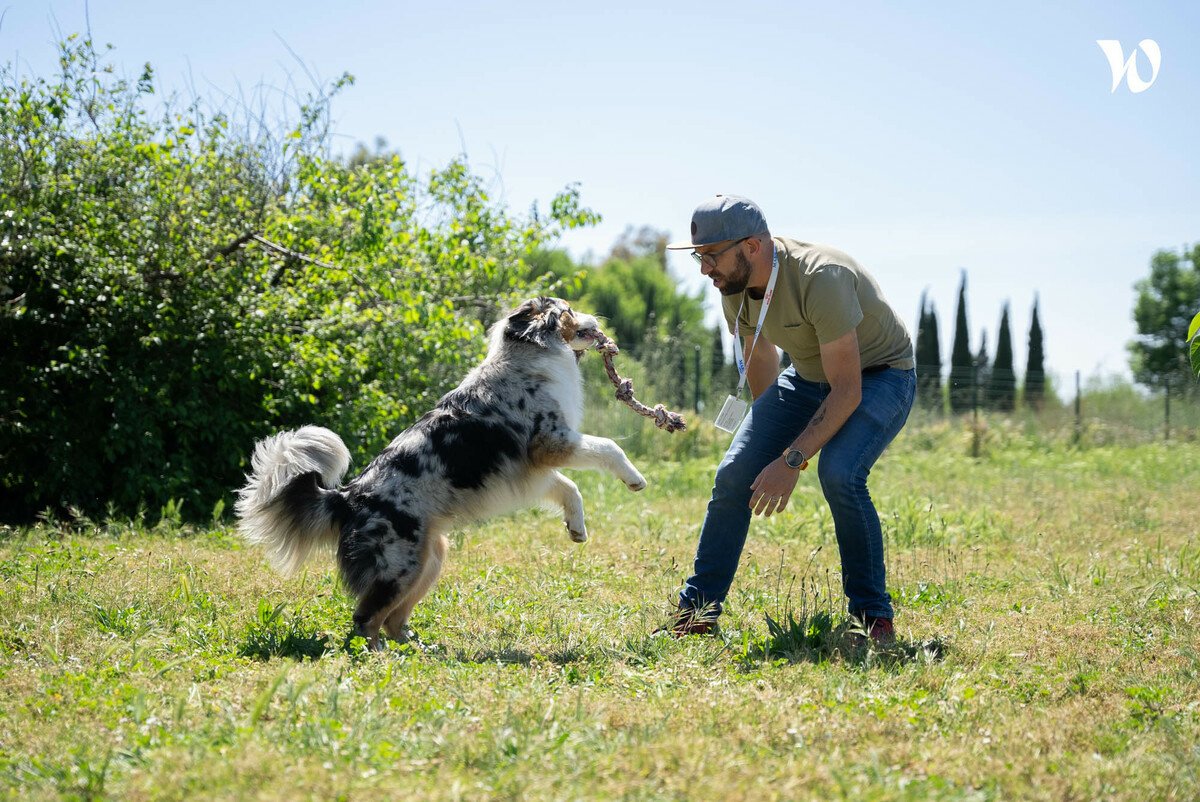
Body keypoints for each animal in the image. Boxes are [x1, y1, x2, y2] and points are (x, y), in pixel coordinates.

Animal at [234, 297, 648, 648]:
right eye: (568, 310)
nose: (600, 321)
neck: (529, 352)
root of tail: (348, 496)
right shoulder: (551, 442)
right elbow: (609, 447)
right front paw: (634, 478)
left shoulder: (536, 469)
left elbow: (569, 487)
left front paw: (577, 527)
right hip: (398, 566)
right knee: (365, 618)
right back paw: (377, 655)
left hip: (429, 559)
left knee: (392, 619)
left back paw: (417, 650)